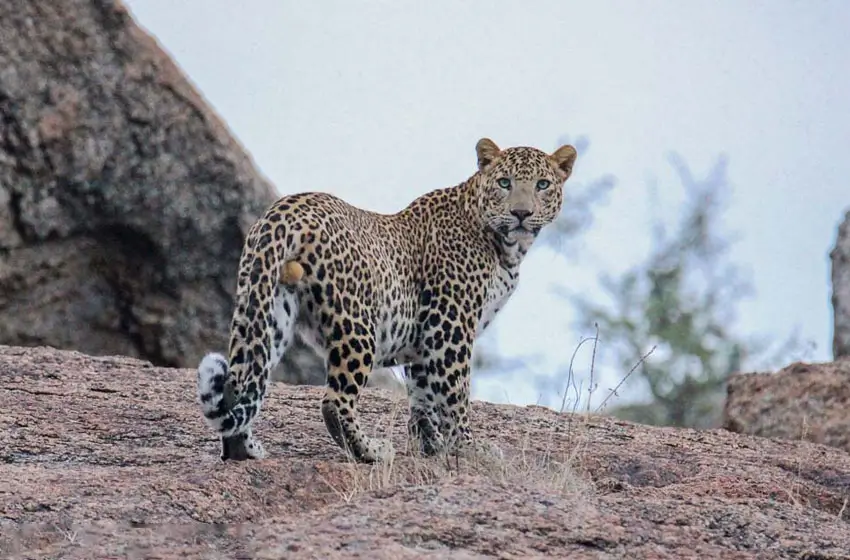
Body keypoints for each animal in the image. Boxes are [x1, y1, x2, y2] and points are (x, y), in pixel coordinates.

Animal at [197, 137, 578, 463]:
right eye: (504, 182)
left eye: (543, 185)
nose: (521, 213)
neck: (507, 248)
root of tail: (284, 210)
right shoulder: (450, 324)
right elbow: (454, 392)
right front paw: (469, 448)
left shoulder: (425, 336)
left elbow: (422, 393)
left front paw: (431, 444)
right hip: (357, 323)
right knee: (335, 401)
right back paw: (372, 451)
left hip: (267, 309)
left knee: (240, 383)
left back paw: (243, 450)